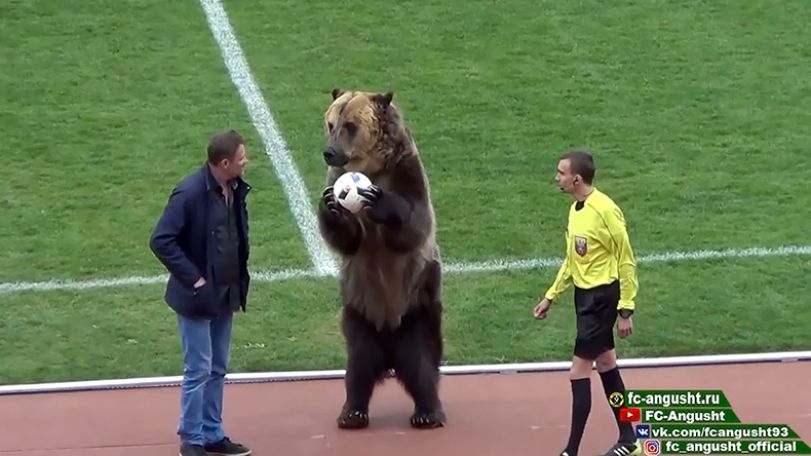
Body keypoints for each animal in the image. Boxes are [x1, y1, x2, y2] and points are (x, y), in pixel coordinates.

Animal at [316, 88, 446, 430]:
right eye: (331, 123)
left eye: (350, 125)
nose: (330, 152)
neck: (373, 168)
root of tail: (388, 355)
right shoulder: (335, 177)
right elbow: (348, 239)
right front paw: (331, 207)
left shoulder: (408, 174)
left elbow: (413, 225)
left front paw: (381, 202)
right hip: (358, 312)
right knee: (358, 368)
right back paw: (352, 413)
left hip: (416, 308)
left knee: (420, 364)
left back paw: (428, 413)